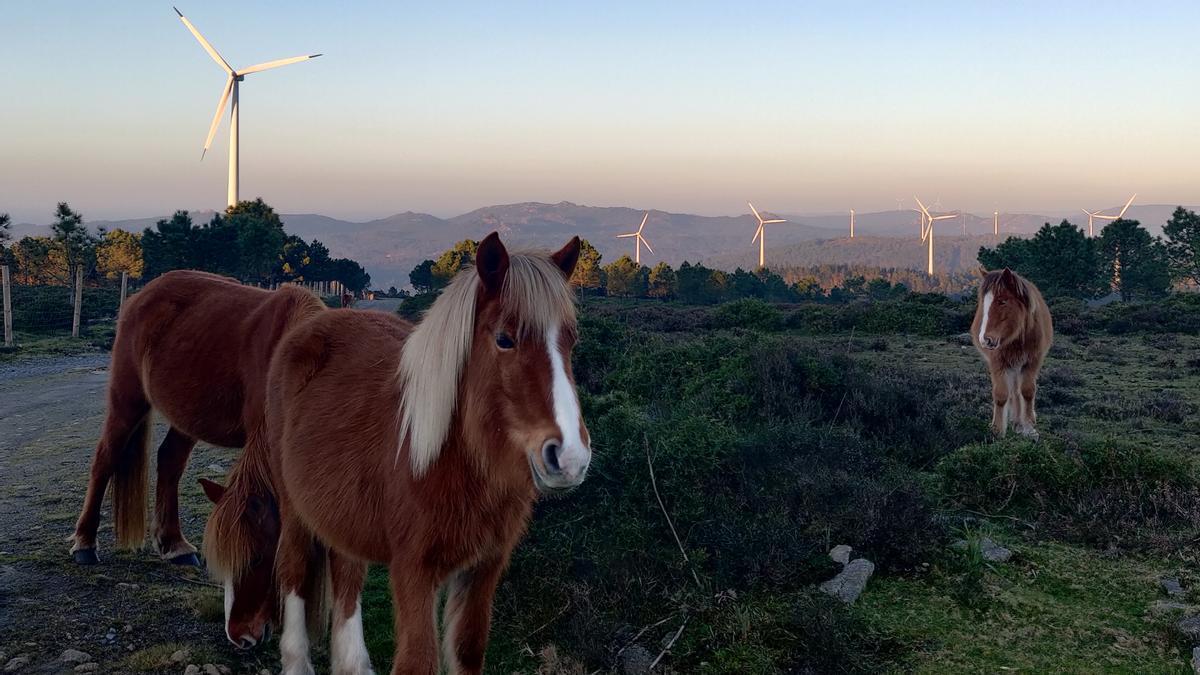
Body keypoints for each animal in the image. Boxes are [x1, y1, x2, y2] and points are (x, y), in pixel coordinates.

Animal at [69, 267, 324, 648]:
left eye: (261, 558)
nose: (240, 637)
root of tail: (141, 296)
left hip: (187, 416)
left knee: (169, 461)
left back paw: (174, 544)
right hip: (127, 399)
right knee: (105, 459)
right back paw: (84, 543)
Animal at [217, 233, 590, 672]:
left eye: (571, 339)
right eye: (504, 339)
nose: (569, 457)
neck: (448, 460)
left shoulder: (484, 570)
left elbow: (468, 652)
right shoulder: (414, 570)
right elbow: (419, 660)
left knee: (347, 576)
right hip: (293, 508)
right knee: (294, 569)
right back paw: (296, 660)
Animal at [969, 265, 1056, 439]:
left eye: (1002, 301)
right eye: (983, 302)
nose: (985, 339)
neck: (1017, 336)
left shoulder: (1032, 362)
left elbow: (1027, 391)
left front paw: (1028, 427)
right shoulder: (998, 363)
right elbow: (1001, 395)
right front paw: (997, 430)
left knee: (1017, 391)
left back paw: (1019, 422)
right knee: (1013, 392)